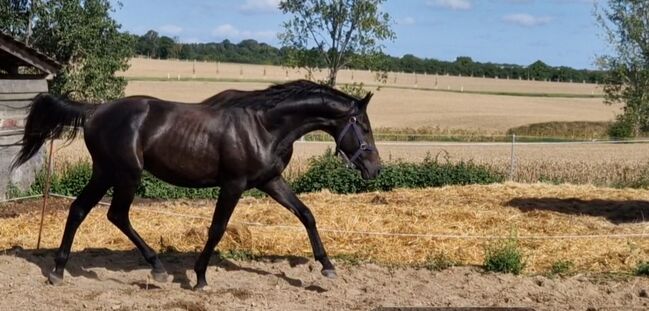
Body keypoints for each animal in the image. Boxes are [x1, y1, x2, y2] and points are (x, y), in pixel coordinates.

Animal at [12, 80, 380, 290]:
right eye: (363, 125)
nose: (375, 168)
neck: (264, 127)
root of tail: (96, 111)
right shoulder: (233, 184)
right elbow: (217, 228)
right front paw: (200, 277)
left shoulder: (270, 181)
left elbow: (306, 214)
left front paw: (328, 267)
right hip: (126, 174)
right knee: (116, 215)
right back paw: (157, 269)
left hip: (104, 172)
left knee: (79, 210)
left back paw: (58, 271)